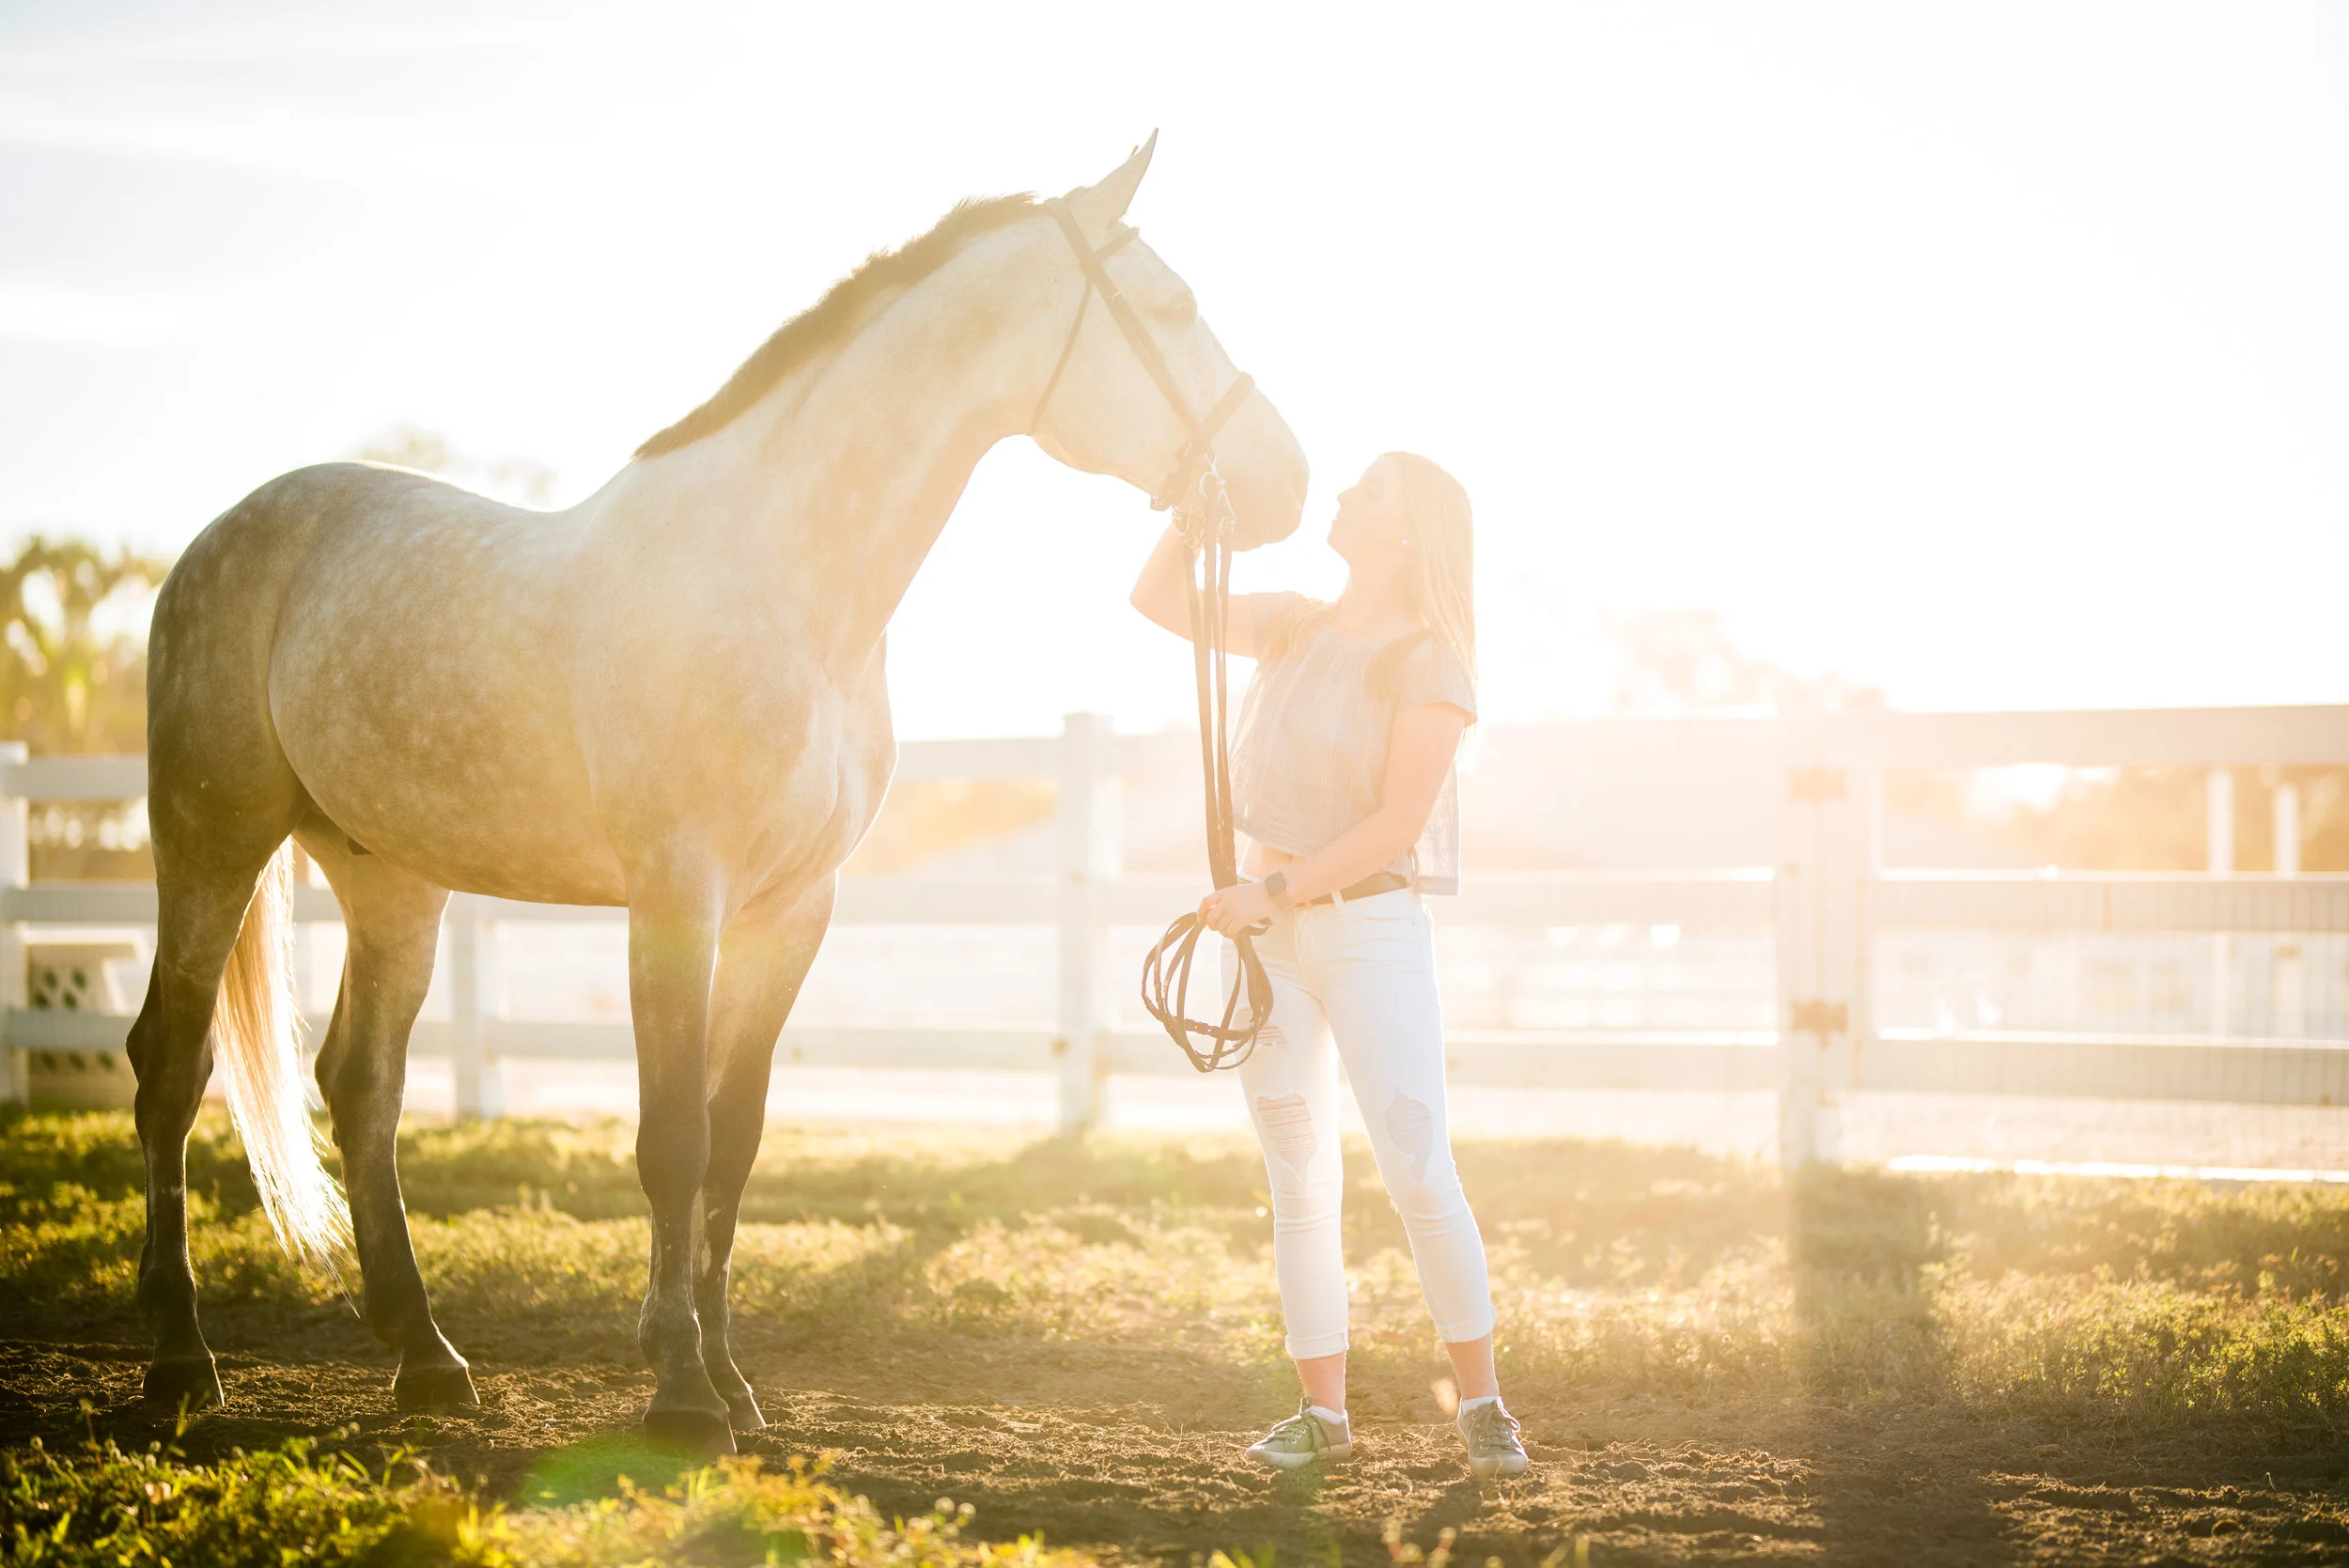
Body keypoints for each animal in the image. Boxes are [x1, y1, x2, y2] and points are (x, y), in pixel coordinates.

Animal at [127, 136, 1307, 1453]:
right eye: (1174, 306)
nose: (1287, 480)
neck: (785, 586)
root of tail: (219, 541)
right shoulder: (677, 898)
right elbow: (672, 1140)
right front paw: (684, 1395)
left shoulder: (793, 909)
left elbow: (733, 1141)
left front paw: (731, 1382)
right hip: (212, 838)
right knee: (170, 1064)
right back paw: (181, 1359)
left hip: (391, 877)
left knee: (360, 1085)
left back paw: (427, 1358)